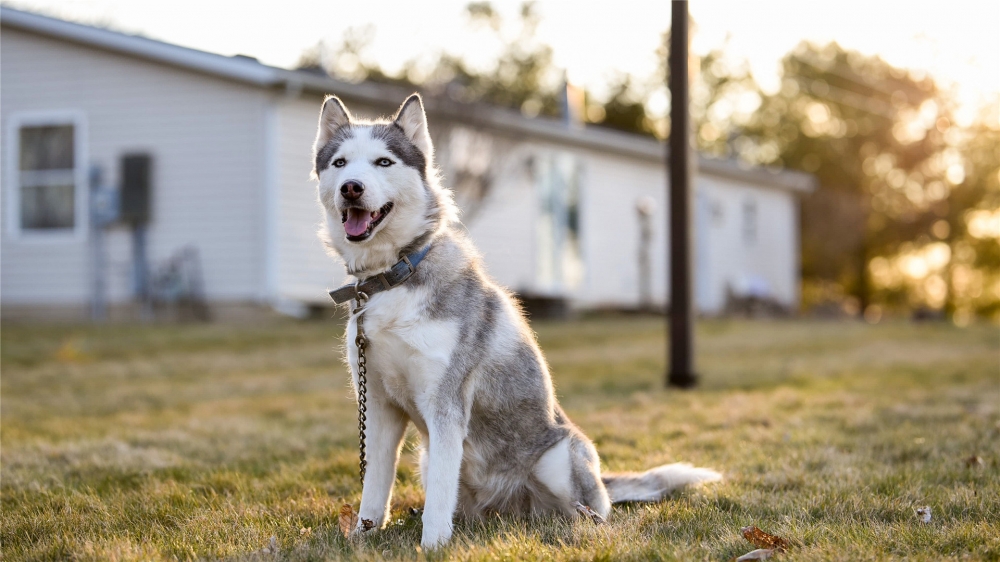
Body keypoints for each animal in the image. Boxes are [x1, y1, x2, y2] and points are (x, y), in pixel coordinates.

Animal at [312, 94, 720, 544]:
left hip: (560, 459)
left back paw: (575, 523)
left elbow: (438, 495)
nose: (352, 187)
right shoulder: (378, 405)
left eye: (383, 162)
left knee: (590, 511)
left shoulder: (446, 405)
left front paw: (432, 544)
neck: (391, 277)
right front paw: (362, 536)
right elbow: (375, 486)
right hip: (429, 457)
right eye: (340, 163)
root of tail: (511, 511)